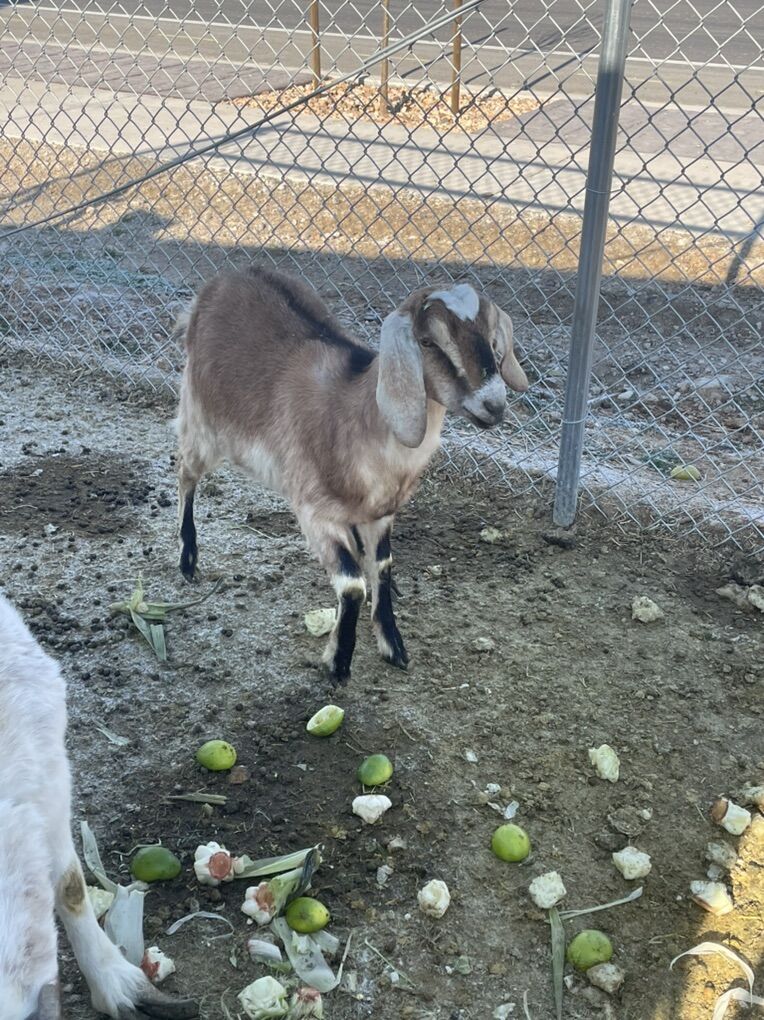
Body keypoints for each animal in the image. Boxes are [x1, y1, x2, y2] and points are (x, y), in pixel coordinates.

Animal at [175, 266, 528, 683]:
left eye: (491, 337)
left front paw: (393, 644)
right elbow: (353, 584)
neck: (355, 416)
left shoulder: (382, 514)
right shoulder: (314, 511)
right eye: (427, 342)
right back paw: (188, 558)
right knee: (185, 475)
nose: (493, 404)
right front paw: (339, 661)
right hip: (202, 423)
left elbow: (383, 567)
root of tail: (222, 282)